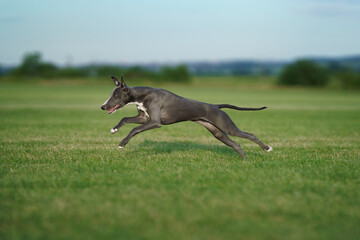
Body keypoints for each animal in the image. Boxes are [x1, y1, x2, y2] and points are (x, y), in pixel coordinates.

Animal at [100, 75, 272, 159]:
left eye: (116, 96)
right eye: (111, 94)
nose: (102, 106)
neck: (142, 95)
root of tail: (216, 106)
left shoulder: (154, 122)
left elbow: (134, 129)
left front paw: (122, 143)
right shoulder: (143, 118)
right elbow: (125, 119)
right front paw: (114, 129)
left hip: (227, 127)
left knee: (249, 134)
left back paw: (267, 148)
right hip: (218, 132)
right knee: (237, 145)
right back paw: (245, 161)